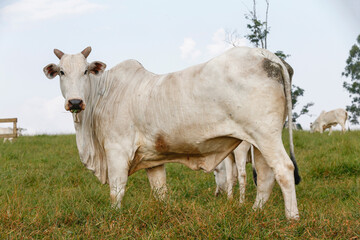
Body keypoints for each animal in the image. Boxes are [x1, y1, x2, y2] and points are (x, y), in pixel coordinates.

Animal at [42, 46, 300, 219]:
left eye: (86, 71)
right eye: (62, 72)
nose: (75, 102)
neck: (104, 93)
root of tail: (267, 55)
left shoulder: (117, 151)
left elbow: (117, 190)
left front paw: (115, 216)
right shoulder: (153, 159)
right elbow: (160, 191)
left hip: (265, 135)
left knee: (284, 170)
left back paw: (292, 219)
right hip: (258, 141)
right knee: (266, 176)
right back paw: (256, 213)